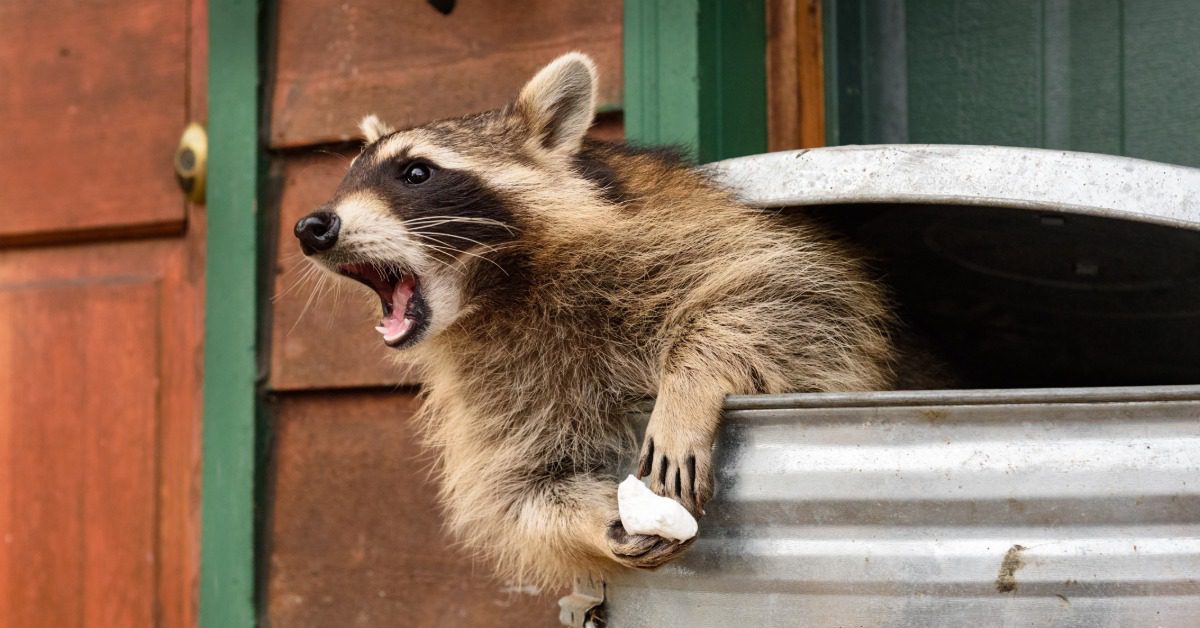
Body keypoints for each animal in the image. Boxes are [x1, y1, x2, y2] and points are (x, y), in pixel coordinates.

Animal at [295, 53, 922, 586]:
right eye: (348, 178)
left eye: (416, 173)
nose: (311, 226)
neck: (498, 292)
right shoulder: (497, 388)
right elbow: (517, 487)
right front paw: (598, 521)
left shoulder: (691, 234)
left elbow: (796, 296)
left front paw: (690, 381)